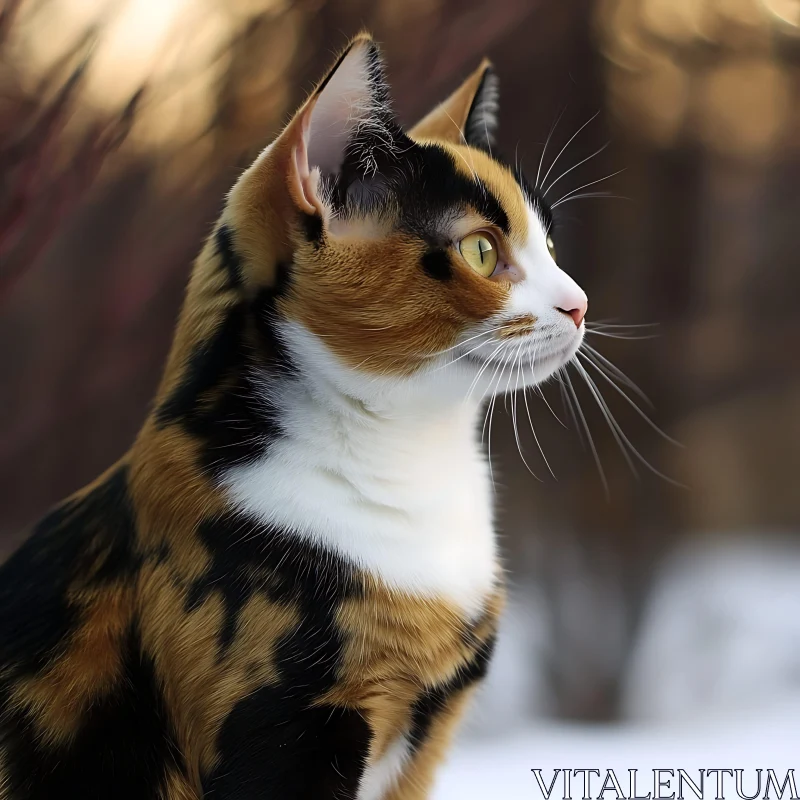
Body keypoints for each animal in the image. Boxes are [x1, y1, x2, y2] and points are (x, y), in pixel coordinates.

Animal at [0, 32, 588, 800]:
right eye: (482, 250)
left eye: (549, 246)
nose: (578, 304)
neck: (409, 461)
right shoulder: (279, 727)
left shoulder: (424, 745)